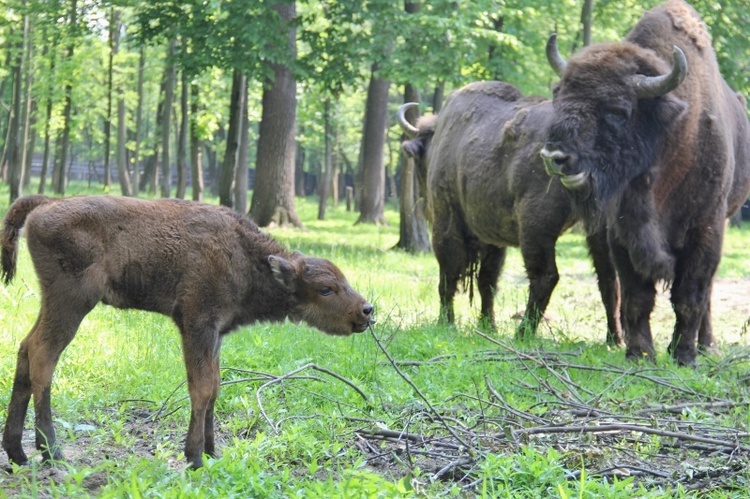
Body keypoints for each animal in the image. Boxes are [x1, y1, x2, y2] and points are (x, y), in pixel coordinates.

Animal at [0, 194, 376, 468]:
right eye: (326, 289)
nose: (366, 310)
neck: (245, 255)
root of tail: (48, 203)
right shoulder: (197, 324)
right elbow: (202, 387)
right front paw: (194, 456)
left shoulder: (216, 333)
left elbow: (216, 386)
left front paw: (212, 451)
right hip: (72, 303)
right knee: (43, 357)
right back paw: (51, 451)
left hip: (54, 303)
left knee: (25, 348)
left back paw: (18, 453)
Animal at [400, 82, 624, 348]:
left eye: (420, 163)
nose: (425, 207)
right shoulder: (492, 239)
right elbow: (487, 280)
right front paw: (488, 325)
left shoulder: (447, 223)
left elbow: (448, 275)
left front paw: (445, 322)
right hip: (600, 228)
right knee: (608, 278)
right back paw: (614, 339)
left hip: (534, 227)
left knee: (545, 276)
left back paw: (522, 333)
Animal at [540, 0, 750, 368]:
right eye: (558, 95)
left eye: (618, 110)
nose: (555, 155)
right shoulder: (622, 233)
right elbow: (636, 296)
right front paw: (640, 354)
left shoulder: (706, 227)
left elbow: (690, 295)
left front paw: (684, 356)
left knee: (707, 293)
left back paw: (707, 345)